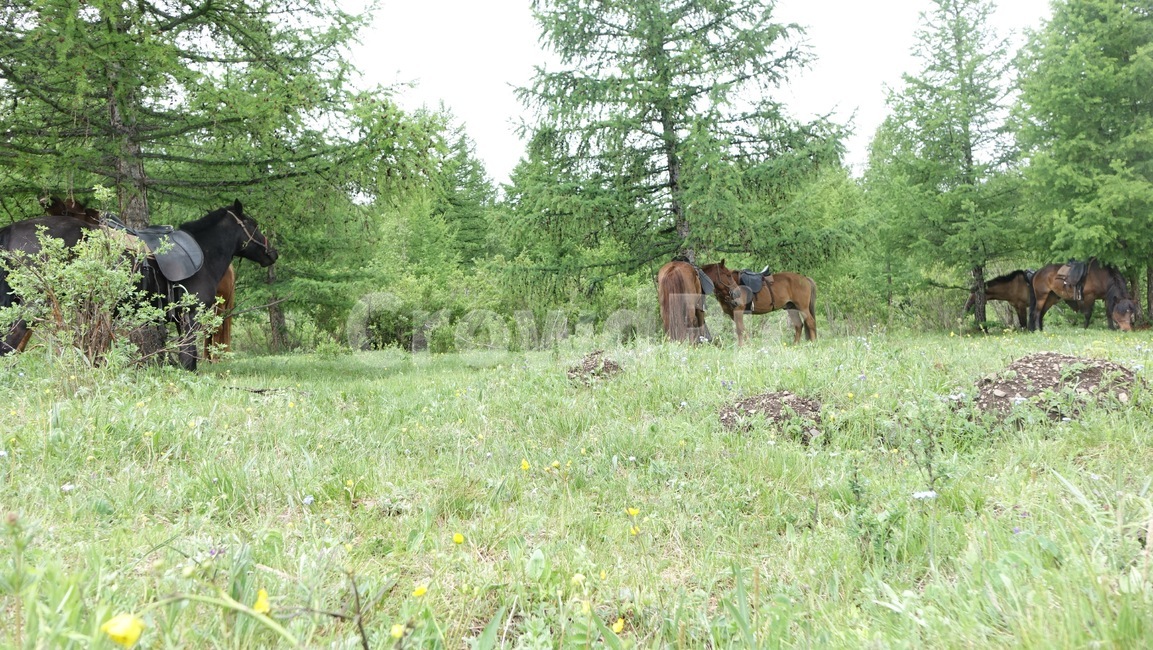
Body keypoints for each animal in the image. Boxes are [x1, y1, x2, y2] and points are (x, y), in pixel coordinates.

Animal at [0, 200, 277, 369]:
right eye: (253, 224)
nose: (272, 253)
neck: (202, 252)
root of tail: (11, 231)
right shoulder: (190, 315)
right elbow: (190, 356)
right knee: (11, 340)